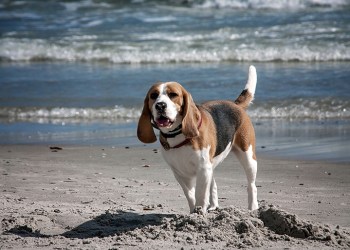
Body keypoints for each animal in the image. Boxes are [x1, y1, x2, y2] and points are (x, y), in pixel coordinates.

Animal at [138, 66, 258, 213]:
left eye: (173, 94)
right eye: (153, 96)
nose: (160, 105)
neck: (177, 135)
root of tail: (235, 105)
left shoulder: (203, 169)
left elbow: (200, 194)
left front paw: (199, 211)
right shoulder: (180, 173)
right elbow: (190, 195)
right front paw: (193, 212)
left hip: (248, 156)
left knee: (251, 185)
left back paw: (253, 208)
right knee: (213, 185)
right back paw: (213, 206)